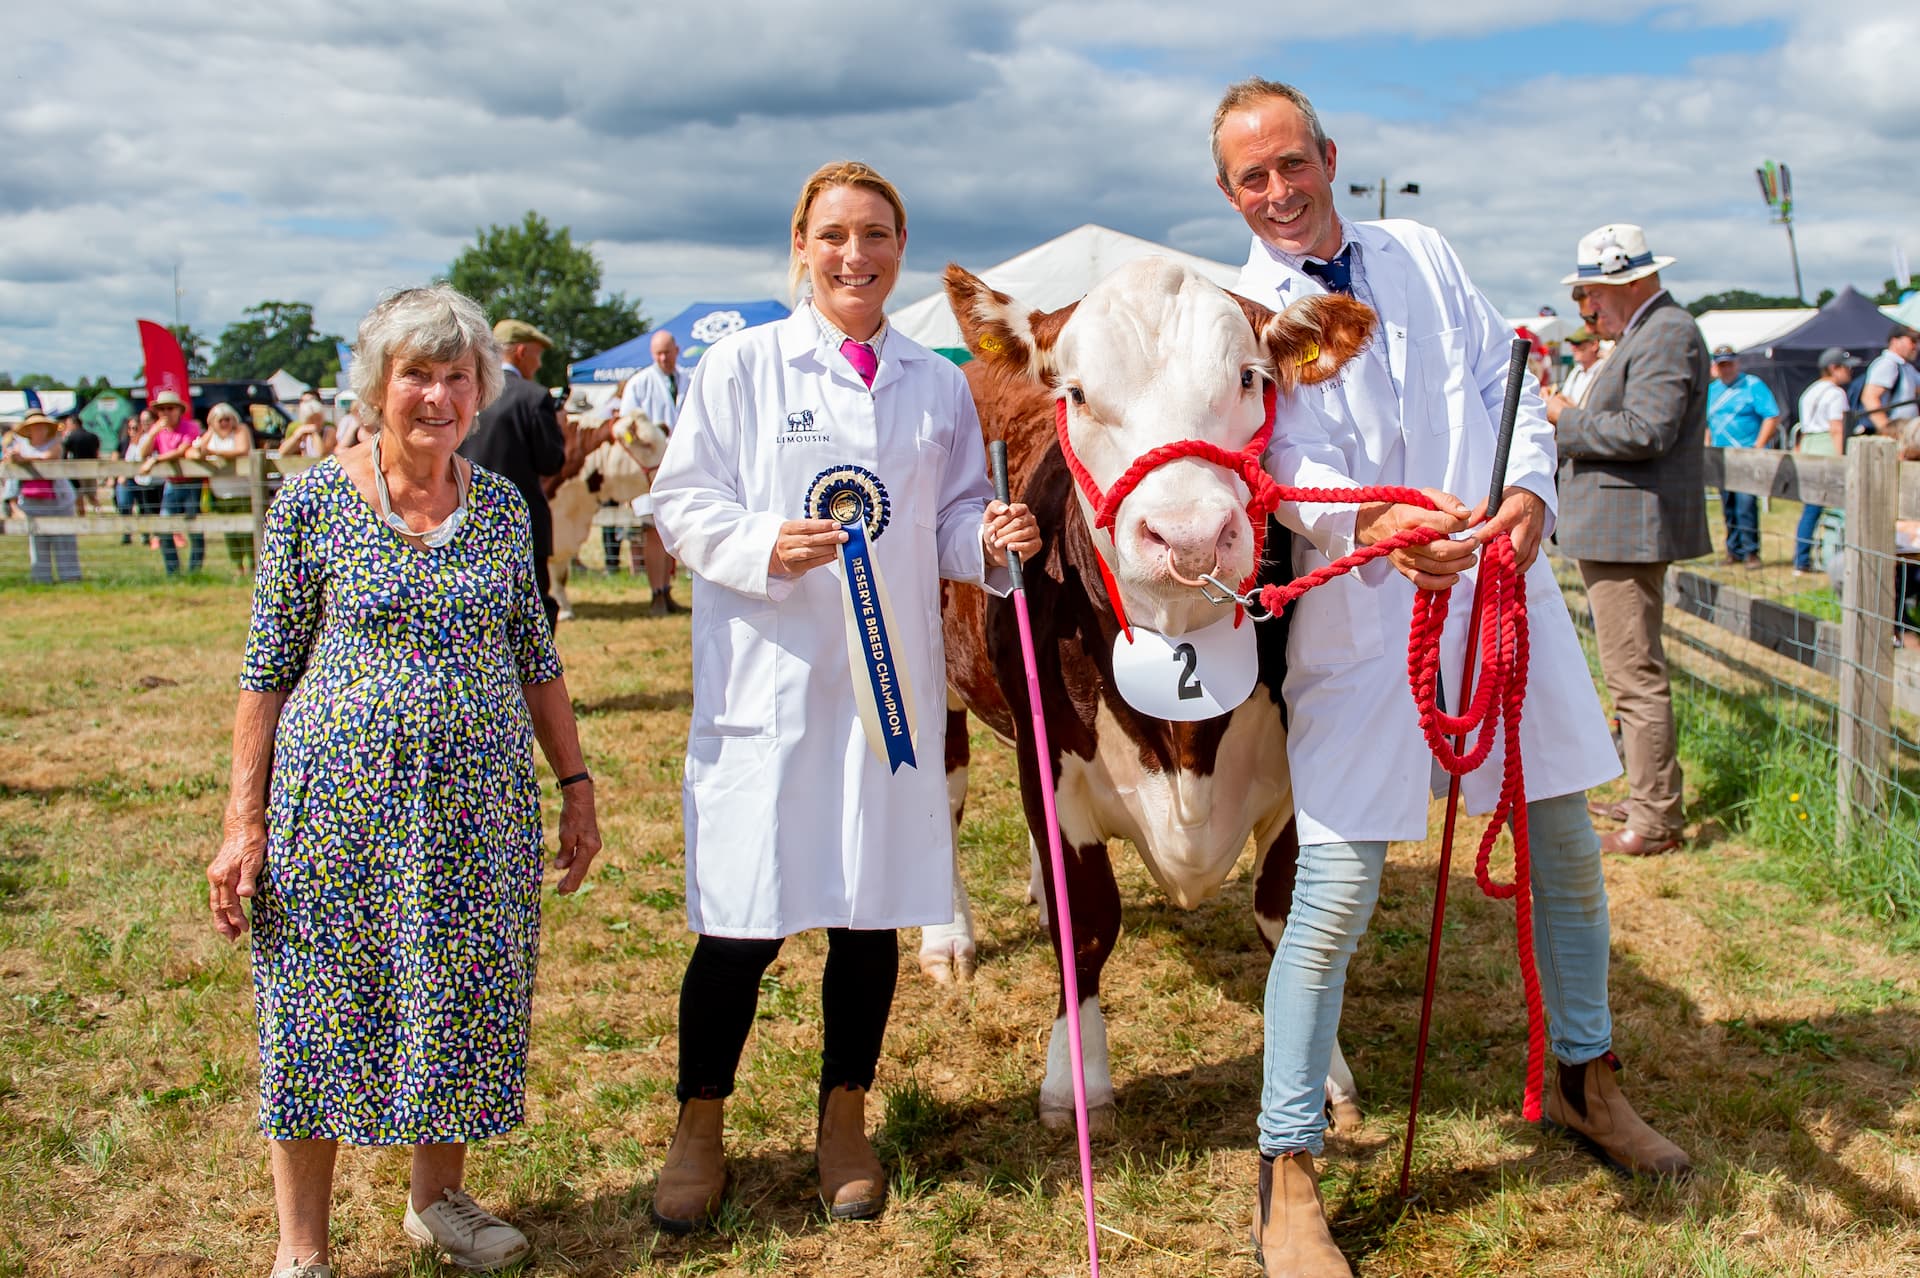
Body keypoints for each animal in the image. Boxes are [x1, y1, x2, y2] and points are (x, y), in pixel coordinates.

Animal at [925, 257, 1375, 1132]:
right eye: (1076, 393)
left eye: (1250, 377)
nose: (1190, 535)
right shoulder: (1052, 758)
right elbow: (1090, 923)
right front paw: (1074, 1081)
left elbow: (1285, 914)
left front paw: (1320, 1074)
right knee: (945, 796)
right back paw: (947, 937)